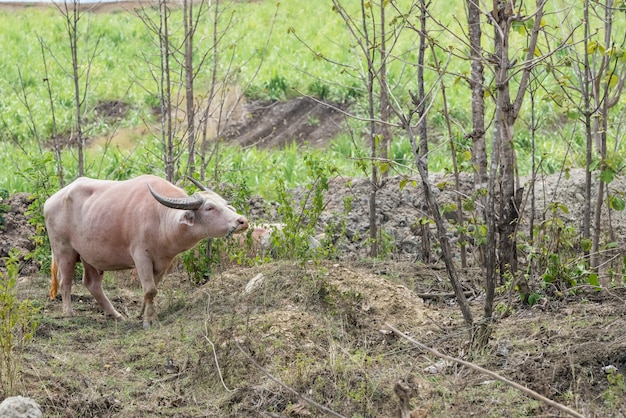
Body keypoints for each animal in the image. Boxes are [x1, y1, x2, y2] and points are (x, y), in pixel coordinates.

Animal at [44, 175, 247, 328]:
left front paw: (142, 314)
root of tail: (50, 201)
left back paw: (115, 314)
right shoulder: (141, 257)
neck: (160, 218)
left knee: (92, 283)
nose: (242, 221)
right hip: (64, 250)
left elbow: (152, 289)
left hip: (91, 256)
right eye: (209, 207)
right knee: (65, 281)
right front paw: (149, 321)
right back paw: (69, 313)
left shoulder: (164, 262)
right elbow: (150, 290)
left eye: (225, 205)